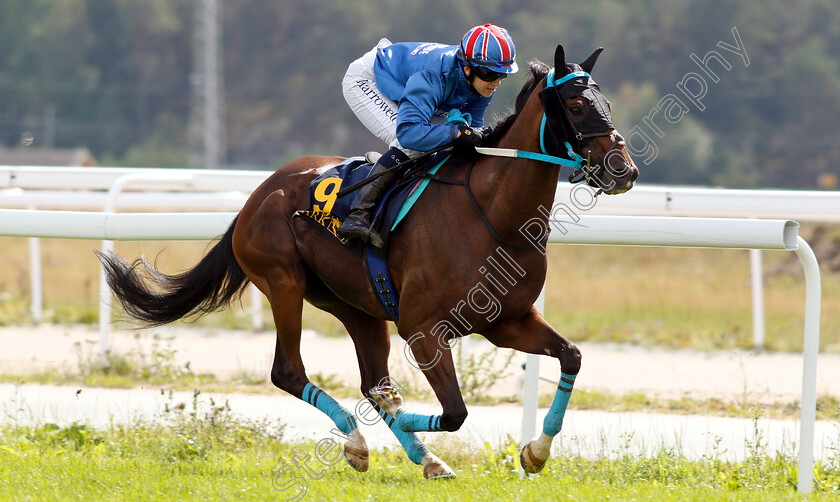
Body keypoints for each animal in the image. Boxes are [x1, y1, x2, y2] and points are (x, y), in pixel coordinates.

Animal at [97, 45, 636, 480]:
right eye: (577, 105)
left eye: (607, 102)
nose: (624, 170)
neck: (493, 214)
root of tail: (258, 194)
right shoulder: (423, 330)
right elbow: (454, 413)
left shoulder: (509, 322)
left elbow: (572, 356)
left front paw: (535, 453)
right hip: (284, 283)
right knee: (289, 372)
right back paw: (359, 442)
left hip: (358, 306)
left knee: (372, 381)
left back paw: (420, 456)